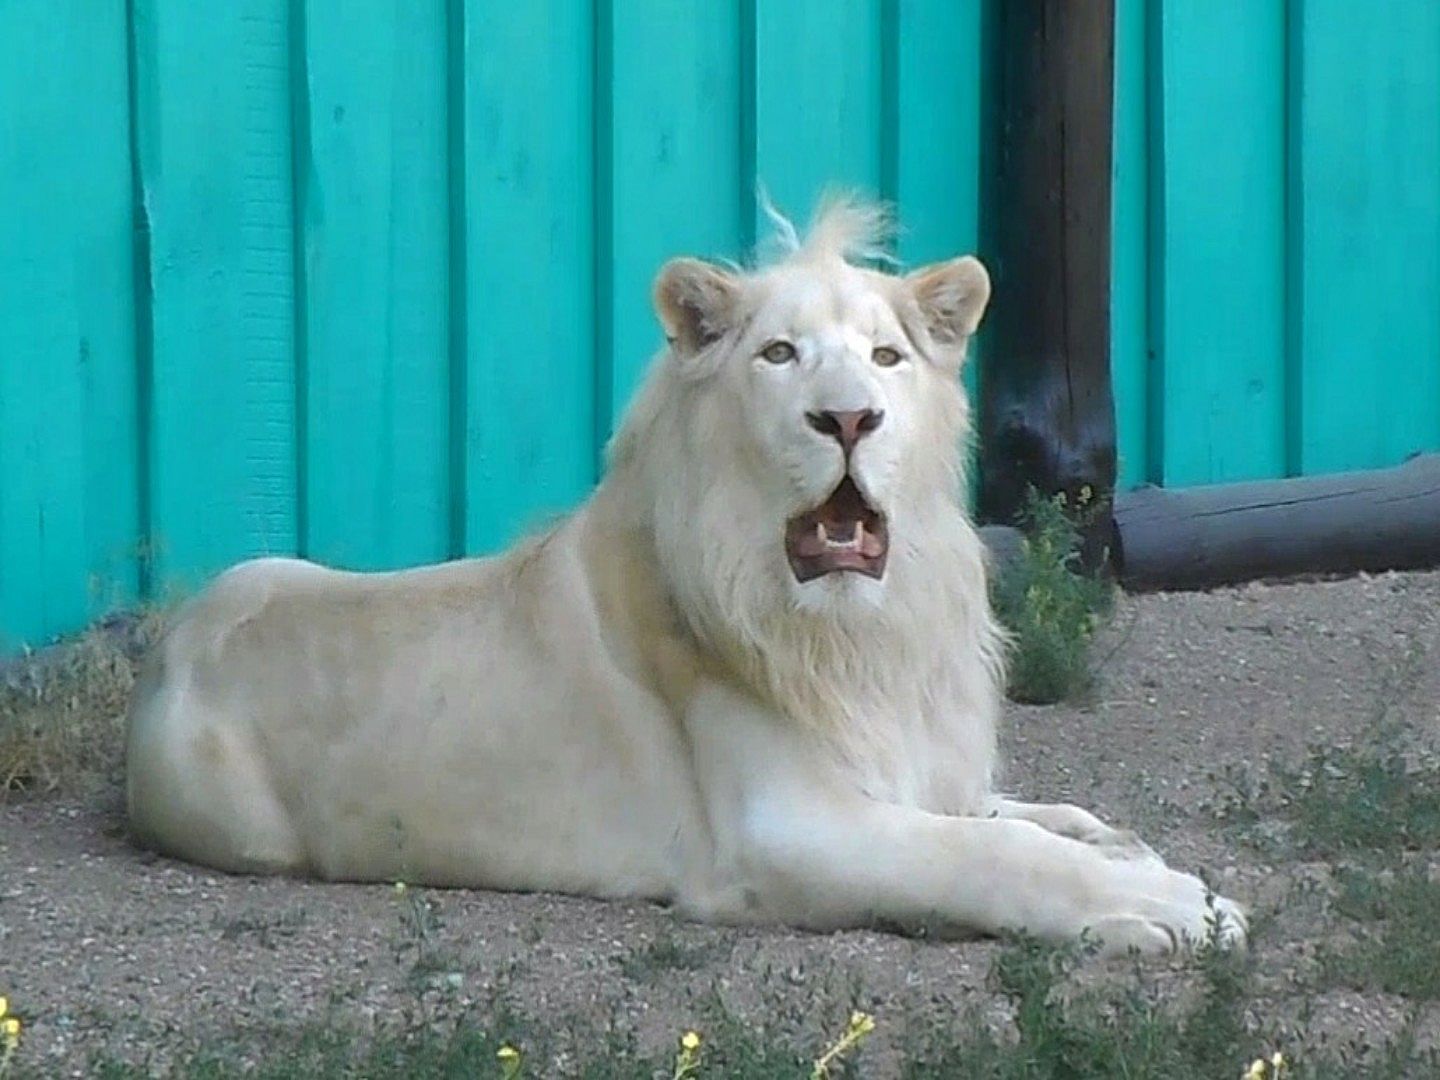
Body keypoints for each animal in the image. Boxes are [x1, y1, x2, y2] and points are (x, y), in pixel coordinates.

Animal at [126, 197, 1244, 956]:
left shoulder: (919, 774)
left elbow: (1020, 817)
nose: (849, 418)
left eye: (886, 357)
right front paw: (1168, 903)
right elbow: (987, 855)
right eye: (781, 355)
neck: (864, 631)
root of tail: (176, 641)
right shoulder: (783, 835)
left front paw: (1132, 852)